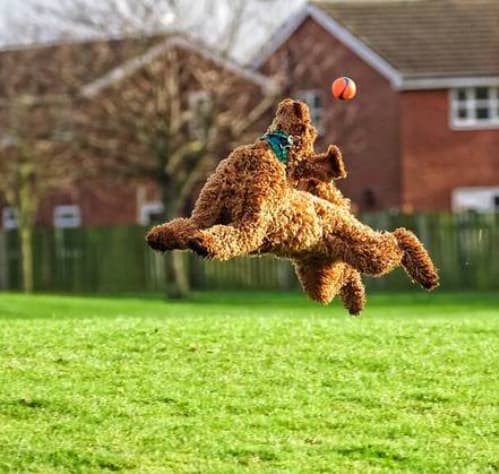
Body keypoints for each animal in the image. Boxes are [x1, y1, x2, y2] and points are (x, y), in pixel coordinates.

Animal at [146, 98, 440, 312]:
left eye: (310, 129)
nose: (298, 103)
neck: (271, 153)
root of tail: (332, 205)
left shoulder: (251, 226)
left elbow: (228, 236)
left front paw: (205, 243)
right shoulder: (203, 215)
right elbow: (181, 226)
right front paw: (159, 236)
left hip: (364, 249)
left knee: (398, 238)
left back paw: (426, 274)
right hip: (319, 275)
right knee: (345, 275)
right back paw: (356, 300)